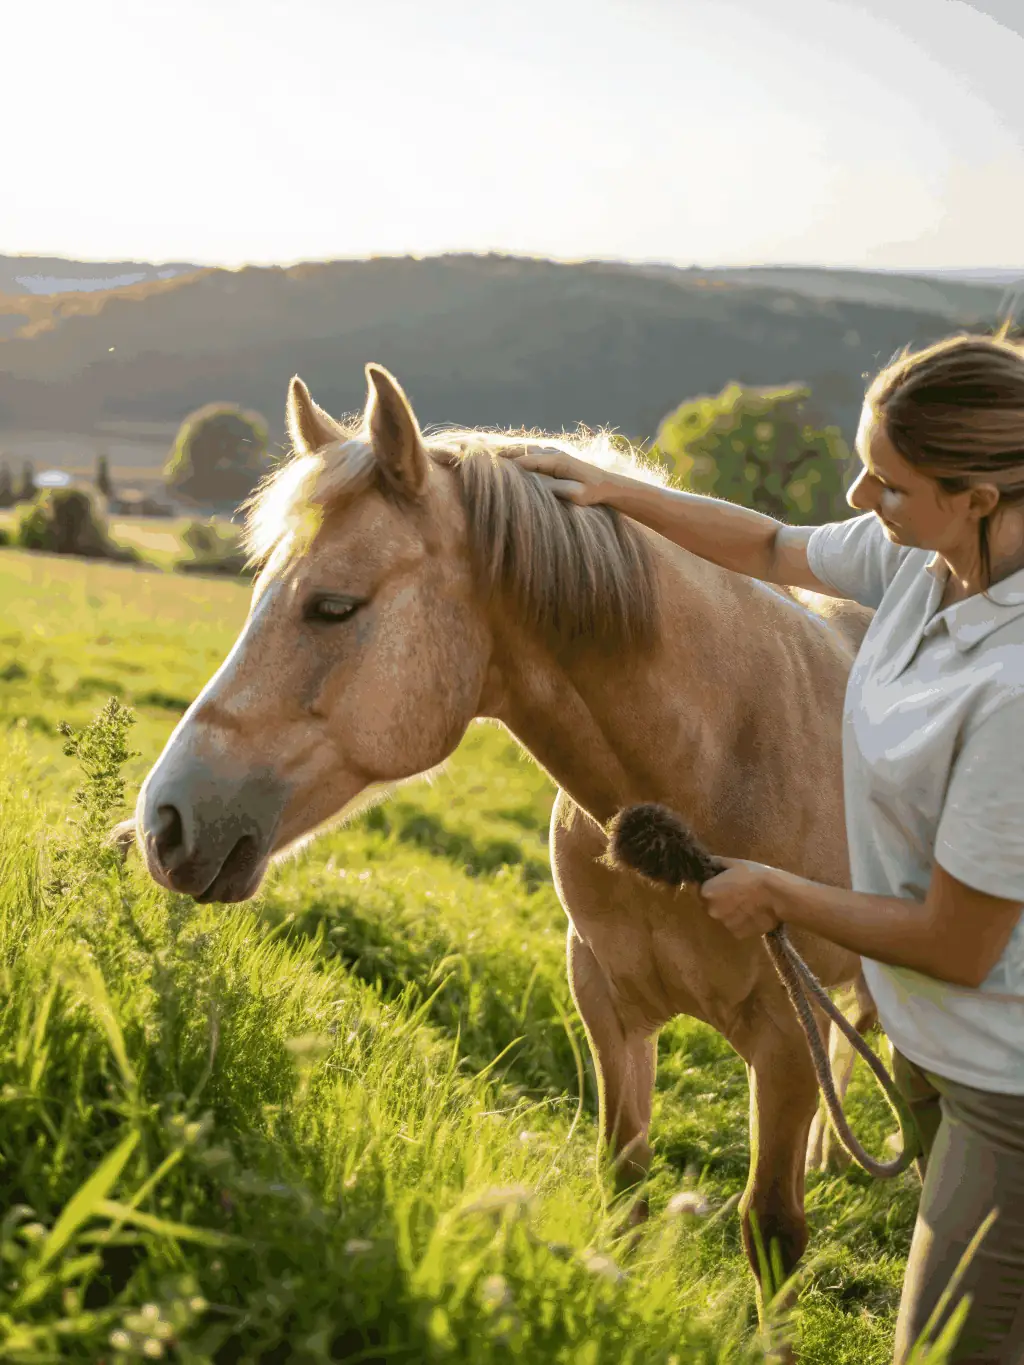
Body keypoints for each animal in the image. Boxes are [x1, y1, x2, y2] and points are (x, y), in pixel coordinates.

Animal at [132, 362, 877, 1304]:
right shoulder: (609, 1004)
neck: (713, 771)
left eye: (333, 605)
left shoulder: (785, 1038)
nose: (166, 820)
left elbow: (772, 1232)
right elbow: (623, 1182)